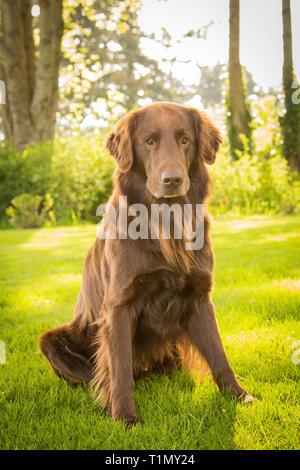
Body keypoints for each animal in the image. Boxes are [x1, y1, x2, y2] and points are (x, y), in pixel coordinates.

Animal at [39, 103, 254, 426]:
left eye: (185, 140)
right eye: (149, 141)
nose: (172, 179)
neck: (165, 223)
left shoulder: (200, 297)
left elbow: (219, 356)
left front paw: (239, 396)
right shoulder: (119, 305)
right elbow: (120, 370)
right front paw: (124, 417)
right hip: (52, 340)